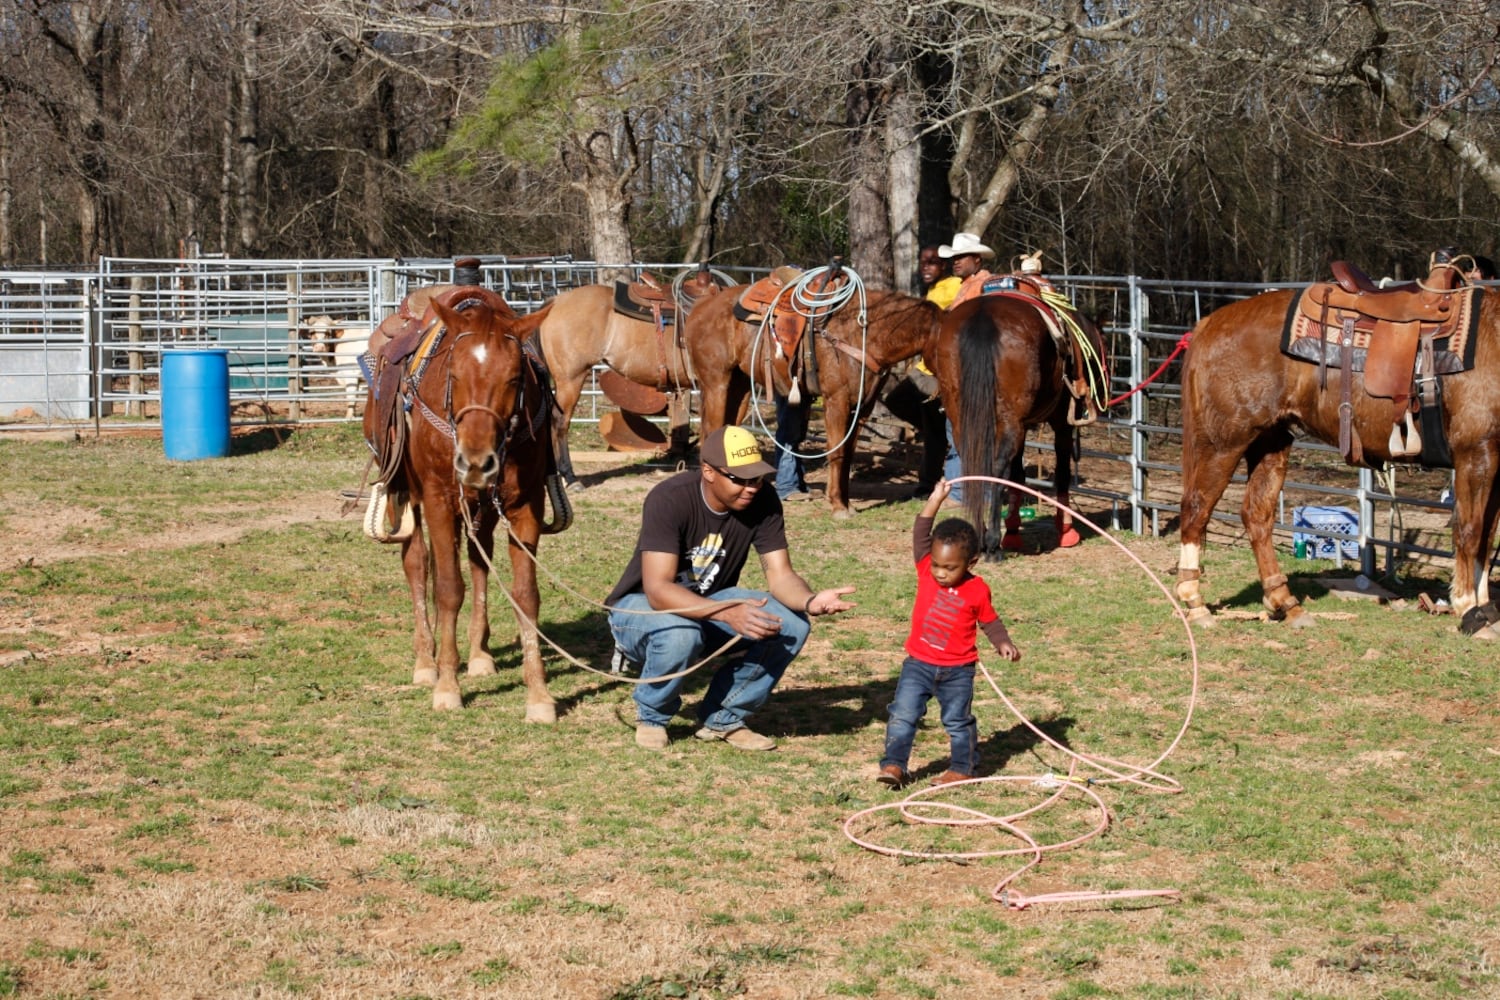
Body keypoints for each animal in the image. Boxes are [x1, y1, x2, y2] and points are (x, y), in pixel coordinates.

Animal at [367, 284, 567, 716]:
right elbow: (446, 589)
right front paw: (447, 686)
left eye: (514, 378)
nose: (475, 462)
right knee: (416, 564)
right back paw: (426, 661)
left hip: (481, 507)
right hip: (405, 494)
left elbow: (525, 595)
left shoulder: (525, 505)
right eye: (454, 373)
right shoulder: (439, 500)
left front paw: (538, 694)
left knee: (479, 561)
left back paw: (478, 654)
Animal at [687, 281, 942, 515]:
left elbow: (848, 453)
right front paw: (838, 506)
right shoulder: (836, 401)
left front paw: (846, 504)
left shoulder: (862, 408)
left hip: (739, 390)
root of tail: (702, 306)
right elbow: (837, 451)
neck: (862, 333)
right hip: (716, 384)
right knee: (712, 432)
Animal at [1170, 284, 1500, 638]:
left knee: (1256, 517)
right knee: (1196, 508)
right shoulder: (1475, 453)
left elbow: (1487, 537)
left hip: (1270, 443)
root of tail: (1209, 323)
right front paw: (1468, 609)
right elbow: (1470, 530)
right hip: (1224, 443)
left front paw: (1485, 610)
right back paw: (1195, 602)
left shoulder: (1496, 463)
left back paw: (1286, 603)